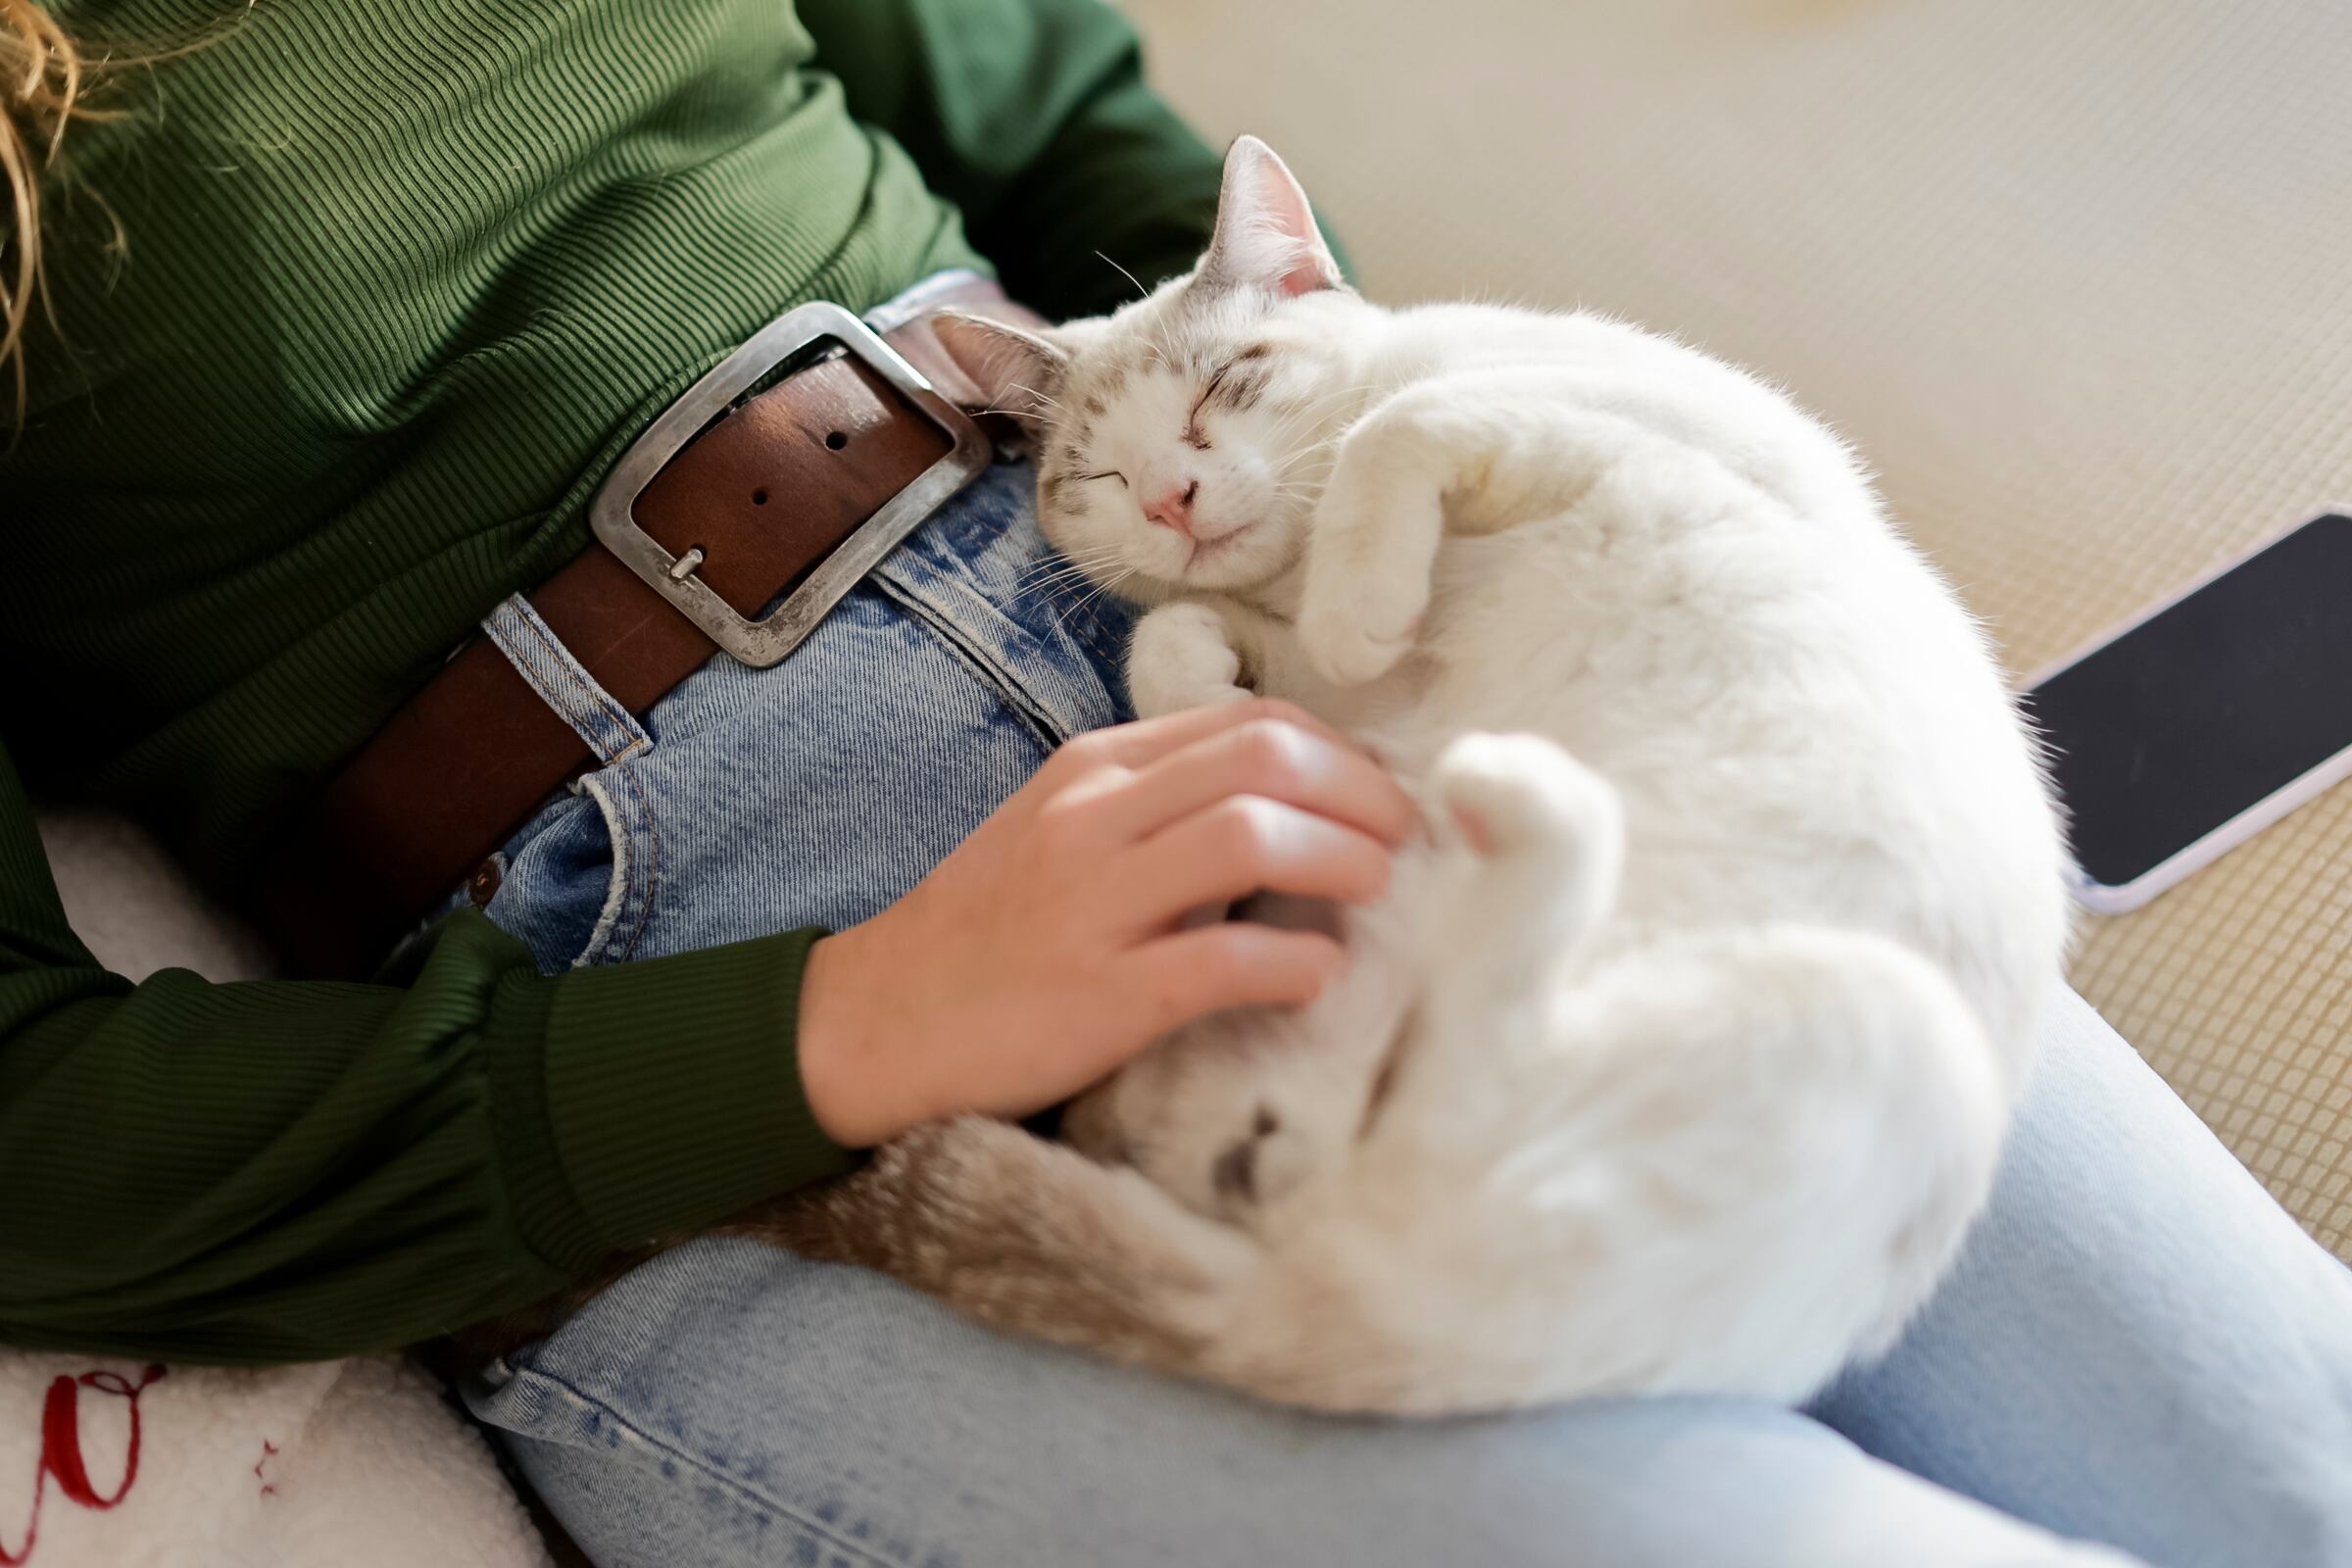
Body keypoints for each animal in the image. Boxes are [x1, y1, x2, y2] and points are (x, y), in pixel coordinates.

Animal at [761, 131, 2070, 1410]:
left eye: (1222, 388)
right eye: (1093, 477)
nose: (1170, 499)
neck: (1302, 574)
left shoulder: (1634, 425)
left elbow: (1402, 425)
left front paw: (1351, 607)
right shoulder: (1294, 657)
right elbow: (1173, 634)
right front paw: (1235, 709)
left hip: (1880, 1030)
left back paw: (1509, 798)